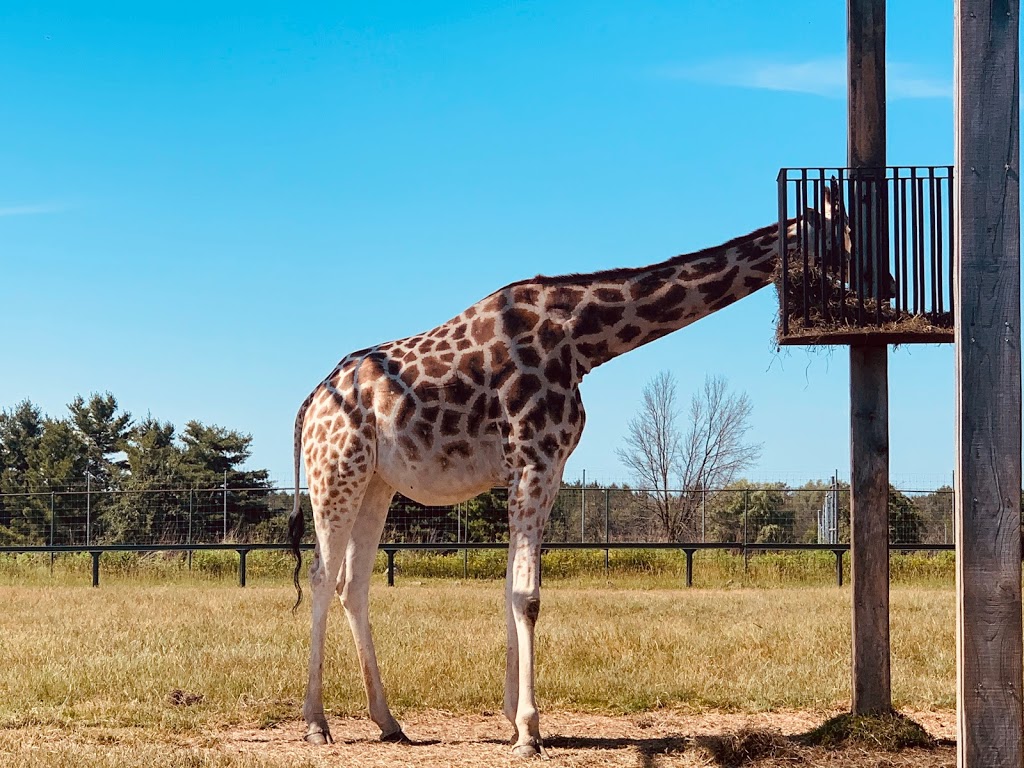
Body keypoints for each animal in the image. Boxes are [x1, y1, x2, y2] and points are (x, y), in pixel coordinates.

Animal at [286, 193, 839, 757]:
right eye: (840, 233)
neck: (583, 340)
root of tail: (309, 403)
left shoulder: (543, 467)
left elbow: (510, 591)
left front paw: (513, 718)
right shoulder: (536, 457)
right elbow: (528, 597)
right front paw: (529, 730)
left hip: (377, 482)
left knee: (353, 584)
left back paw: (388, 722)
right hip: (336, 470)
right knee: (321, 575)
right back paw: (316, 723)